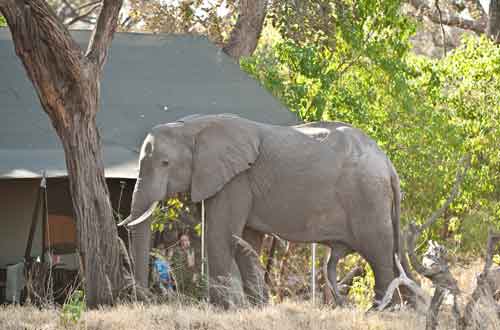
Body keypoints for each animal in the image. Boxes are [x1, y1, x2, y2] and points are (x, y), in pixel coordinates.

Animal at [120, 113, 406, 306]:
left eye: (165, 163)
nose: (144, 298)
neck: (193, 126)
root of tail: (388, 164)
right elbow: (247, 241)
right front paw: (258, 306)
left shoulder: (235, 180)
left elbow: (220, 235)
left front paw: (221, 309)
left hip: (368, 198)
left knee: (379, 253)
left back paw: (381, 309)